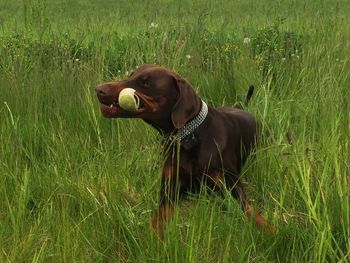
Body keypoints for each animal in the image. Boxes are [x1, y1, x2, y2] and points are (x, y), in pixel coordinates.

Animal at [95, 64, 276, 239]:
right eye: (130, 75)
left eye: (145, 83)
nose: (98, 89)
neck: (189, 136)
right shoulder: (169, 192)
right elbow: (156, 221)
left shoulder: (231, 187)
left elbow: (250, 212)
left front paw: (271, 231)